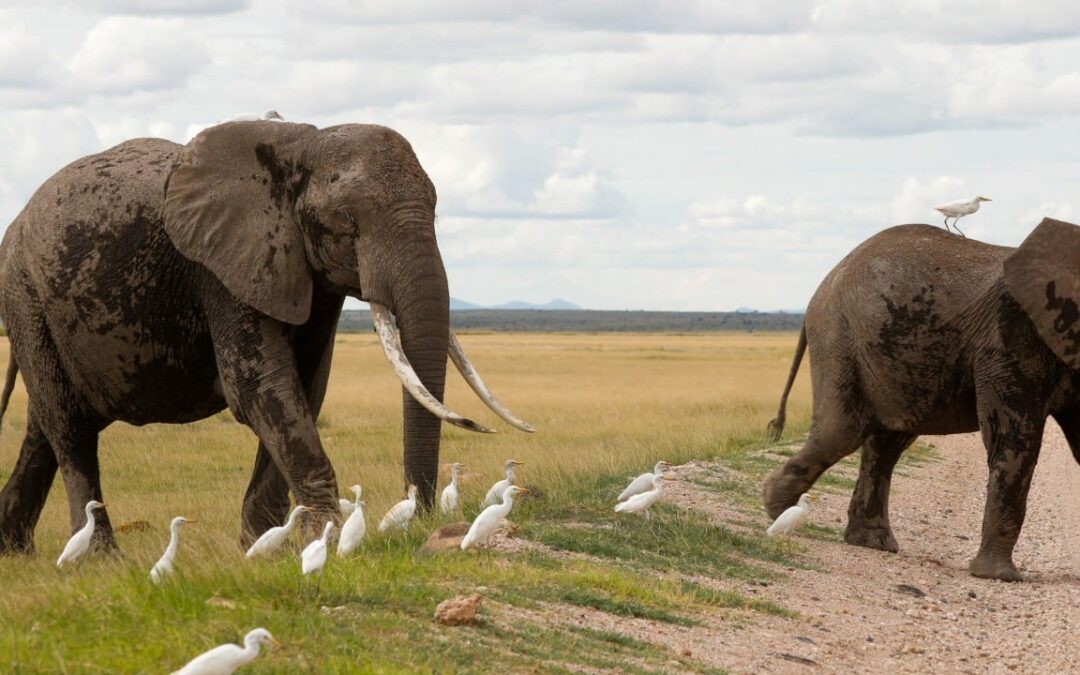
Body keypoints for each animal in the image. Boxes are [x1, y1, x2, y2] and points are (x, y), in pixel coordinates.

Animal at [0, 120, 533, 554]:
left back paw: (15, 552)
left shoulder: (306, 272)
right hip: (25, 294)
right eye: (347, 221)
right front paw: (324, 538)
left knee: (43, 428)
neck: (301, 143)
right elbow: (262, 388)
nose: (420, 514)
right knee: (69, 428)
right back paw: (101, 558)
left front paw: (262, 547)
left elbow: (306, 387)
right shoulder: (221, 269)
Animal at [763, 219, 1080, 581]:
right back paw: (778, 509)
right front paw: (999, 577)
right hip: (838, 335)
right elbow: (1013, 439)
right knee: (842, 432)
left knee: (886, 442)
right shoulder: (1009, 334)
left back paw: (870, 542)